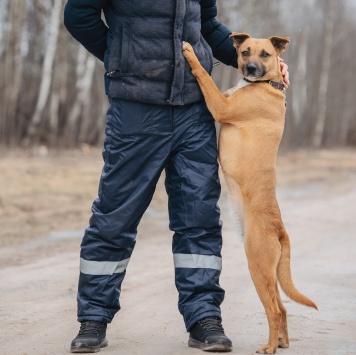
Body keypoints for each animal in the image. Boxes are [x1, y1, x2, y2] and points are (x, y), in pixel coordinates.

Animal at [184, 34, 318, 355]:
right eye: (245, 52)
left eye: (266, 54)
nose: (252, 68)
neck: (265, 86)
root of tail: (280, 230)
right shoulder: (223, 99)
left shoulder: (220, 105)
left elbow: (204, 75)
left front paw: (190, 52)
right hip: (268, 273)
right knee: (283, 309)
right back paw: (280, 342)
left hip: (258, 268)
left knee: (274, 310)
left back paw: (269, 347)